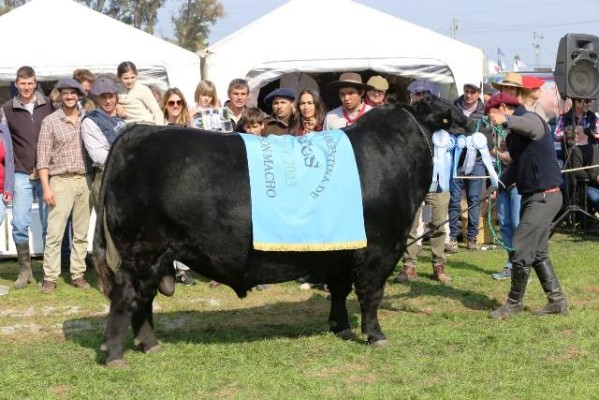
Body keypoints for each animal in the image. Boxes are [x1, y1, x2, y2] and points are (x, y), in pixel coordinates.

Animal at [95, 96, 468, 366]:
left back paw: (150, 345)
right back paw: (115, 356)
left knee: (143, 301)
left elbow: (339, 291)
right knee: (125, 299)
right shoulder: (380, 247)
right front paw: (375, 335)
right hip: (142, 252)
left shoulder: (341, 251)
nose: (465, 119)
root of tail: (139, 131)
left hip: (155, 257)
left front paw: (342, 329)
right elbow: (371, 294)